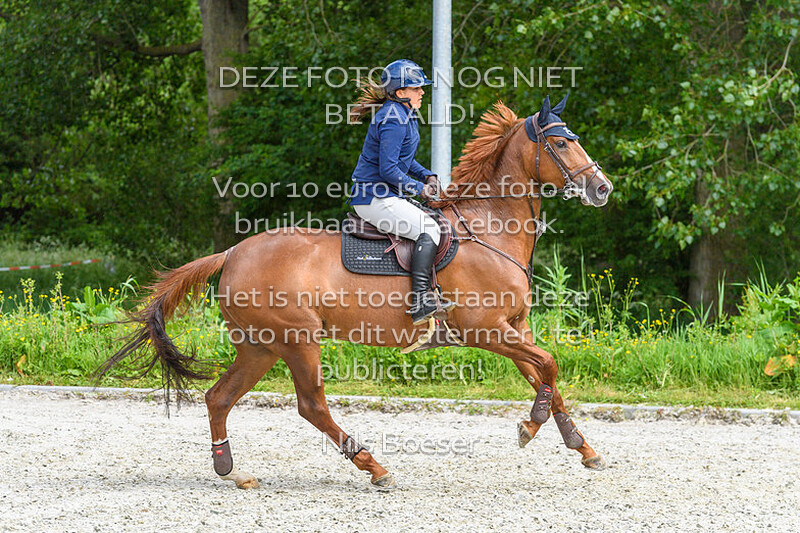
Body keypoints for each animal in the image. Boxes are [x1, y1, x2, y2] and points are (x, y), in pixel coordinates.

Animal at [100, 94, 614, 490]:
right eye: (562, 142)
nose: (603, 188)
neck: (488, 229)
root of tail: (231, 252)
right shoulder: (484, 330)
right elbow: (550, 364)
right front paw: (531, 426)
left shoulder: (513, 328)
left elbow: (546, 376)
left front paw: (581, 445)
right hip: (297, 340)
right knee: (311, 405)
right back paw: (374, 467)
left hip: (260, 345)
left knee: (219, 398)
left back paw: (231, 470)